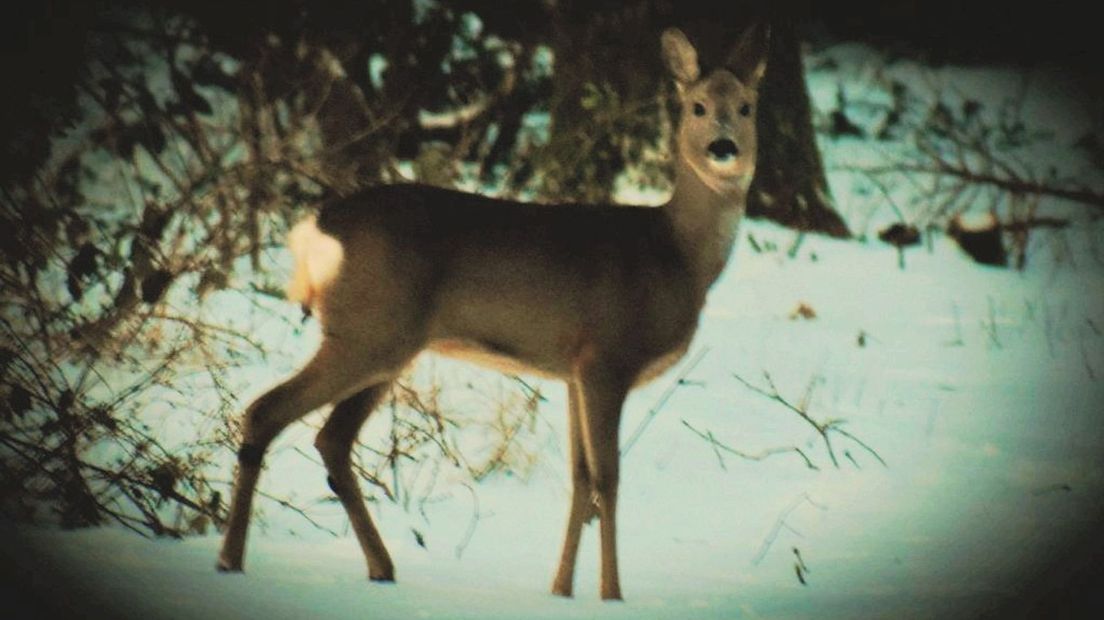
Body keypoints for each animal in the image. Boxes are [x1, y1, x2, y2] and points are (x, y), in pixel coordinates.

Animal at [215, 24, 768, 600]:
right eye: (698, 106)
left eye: (746, 106)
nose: (723, 147)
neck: (675, 255)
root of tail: (315, 230)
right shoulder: (605, 358)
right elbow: (607, 479)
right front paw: (612, 595)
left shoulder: (572, 370)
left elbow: (579, 478)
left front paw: (561, 591)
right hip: (367, 333)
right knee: (266, 411)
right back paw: (232, 559)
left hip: (383, 343)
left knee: (331, 439)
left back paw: (381, 567)